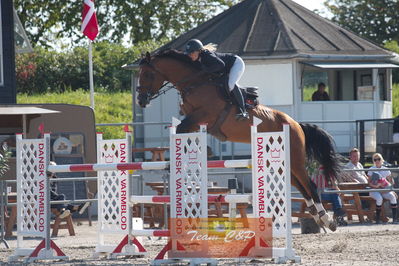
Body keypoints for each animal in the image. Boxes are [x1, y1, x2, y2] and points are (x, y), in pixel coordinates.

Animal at [136, 49, 342, 231]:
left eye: (147, 74)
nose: (140, 100)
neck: (195, 83)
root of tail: (296, 124)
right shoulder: (194, 122)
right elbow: (182, 130)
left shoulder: (203, 115)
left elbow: (180, 128)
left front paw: (181, 160)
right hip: (281, 163)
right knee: (301, 186)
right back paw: (317, 216)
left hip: (295, 159)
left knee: (311, 185)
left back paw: (327, 219)